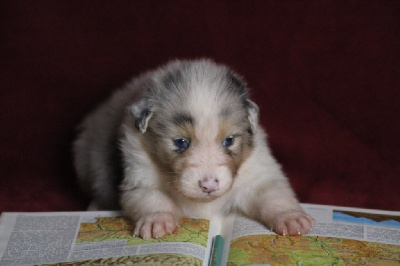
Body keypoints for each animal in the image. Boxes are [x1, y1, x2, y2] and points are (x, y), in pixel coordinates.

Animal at [72, 59, 316, 238]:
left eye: (229, 141)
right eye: (181, 142)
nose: (209, 185)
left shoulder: (257, 172)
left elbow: (272, 194)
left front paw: (292, 218)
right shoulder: (139, 174)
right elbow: (152, 197)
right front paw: (157, 221)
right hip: (89, 161)